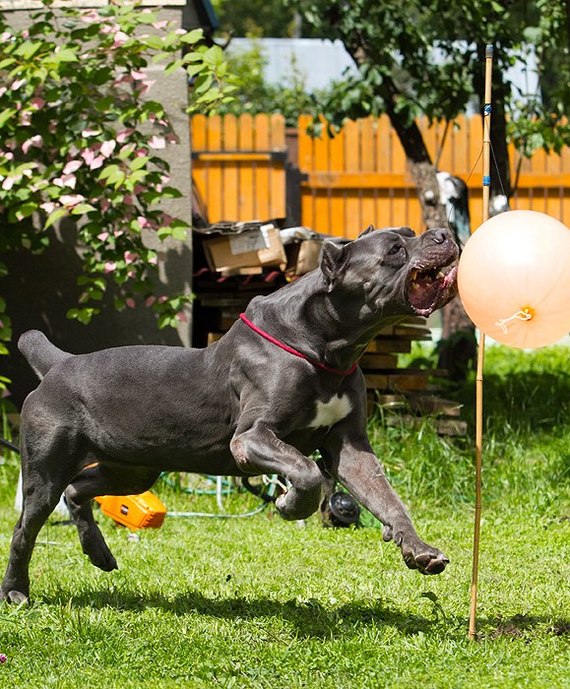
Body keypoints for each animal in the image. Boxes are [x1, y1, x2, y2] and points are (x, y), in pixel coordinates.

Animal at [1, 226, 458, 600]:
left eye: (410, 233)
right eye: (396, 249)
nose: (444, 233)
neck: (329, 347)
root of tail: (58, 363)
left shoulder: (351, 447)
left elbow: (387, 498)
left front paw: (419, 550)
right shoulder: (252, 437)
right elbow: (307, 472)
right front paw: (290, 506)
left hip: (133, 467)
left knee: (79, 491)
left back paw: (98, 553)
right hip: (46, 470)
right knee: (25, 528)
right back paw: (17, 593)